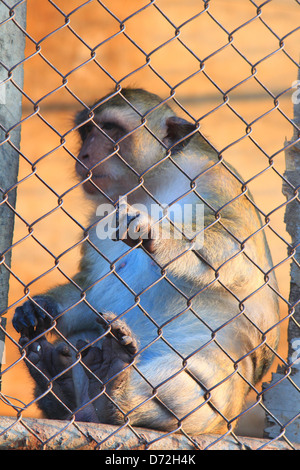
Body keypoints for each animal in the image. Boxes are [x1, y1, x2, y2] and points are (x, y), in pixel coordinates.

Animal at [12, 87, 278, 434]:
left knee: (192, 379)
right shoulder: (99, 221)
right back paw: (60, 386)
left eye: (111, 129)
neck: (150, 187)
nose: (84, 155)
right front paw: (42, 307)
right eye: (86, 131)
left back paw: (114, 392)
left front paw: (159, 236)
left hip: (214, 403)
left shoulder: (214, 181)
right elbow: (90, 291)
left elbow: (241, 256)